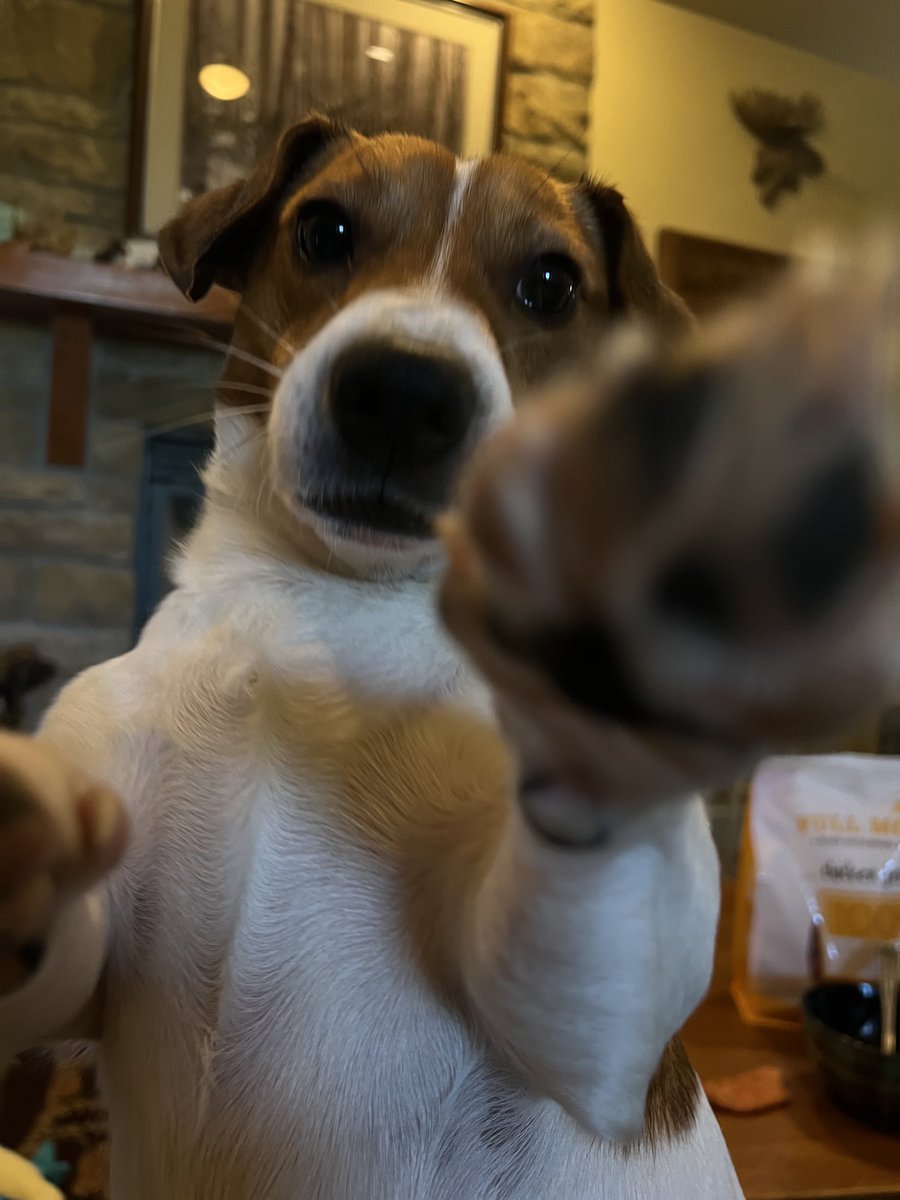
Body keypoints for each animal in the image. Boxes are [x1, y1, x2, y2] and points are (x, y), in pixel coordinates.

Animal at [0, 114, 897, 1200]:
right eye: (324, 229)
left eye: (551, 282)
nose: (401, 390)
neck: (322, 615)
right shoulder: (77, 972)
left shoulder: (587, 1025)